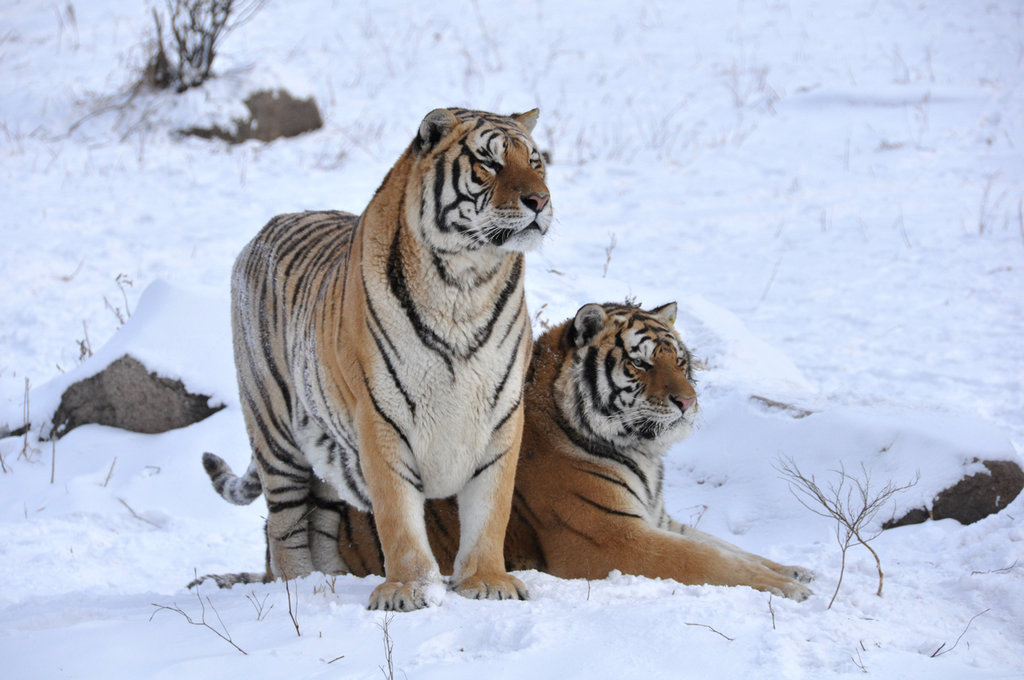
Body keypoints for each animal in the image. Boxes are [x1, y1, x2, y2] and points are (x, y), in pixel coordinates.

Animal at [195, 303, 811, 602]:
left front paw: (795, 569)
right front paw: (786, 588)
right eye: (639, 363)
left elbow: (727, 548)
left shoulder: (656, 517)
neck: (642, 455)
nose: (688, 402)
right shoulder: (611, 537)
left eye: (680, 360)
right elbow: (708, 561)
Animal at [200, 107, 552, 610]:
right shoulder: (381, 417)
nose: (540, 200)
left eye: (536, 163)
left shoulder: (501, 416)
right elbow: (398, 517)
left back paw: (328, 583)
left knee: (321, 522)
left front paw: (487, 582)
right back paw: (297, 591)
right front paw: (409, 590)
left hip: (325, 450)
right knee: (283, 526)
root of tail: (266, 230)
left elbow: (490, 511)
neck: (466, 283)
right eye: (489, 163)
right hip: (275, 432)